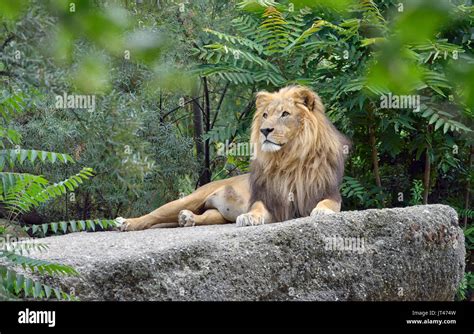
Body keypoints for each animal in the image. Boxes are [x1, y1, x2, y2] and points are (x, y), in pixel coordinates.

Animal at [118, 85, 348, 231]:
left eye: (285, 114)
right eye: (265, 115)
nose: (265, 130)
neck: (289, 158)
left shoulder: (330, 193)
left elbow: (328, 203)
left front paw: (321, 212)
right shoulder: (269, 200)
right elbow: (257, 208)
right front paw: (249, 217)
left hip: (216, 213)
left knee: (204, 217)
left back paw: (187, 219)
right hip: (190, 198)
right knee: (154, 215)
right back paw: (127, 223)